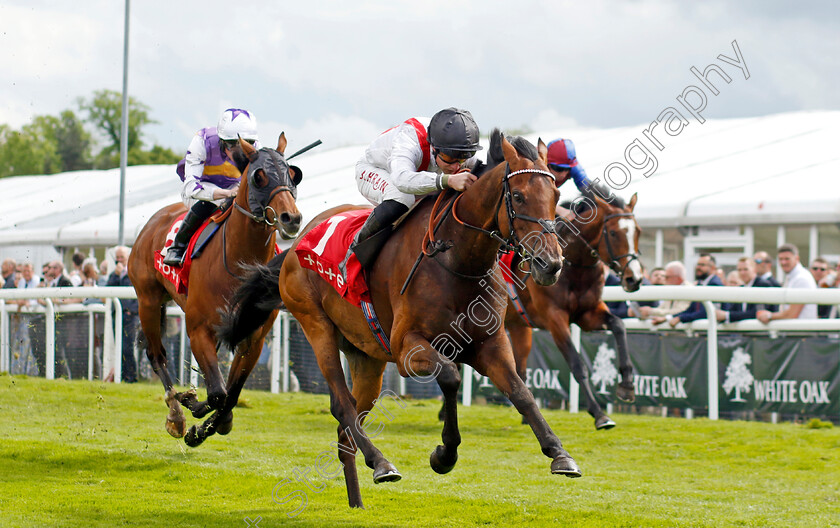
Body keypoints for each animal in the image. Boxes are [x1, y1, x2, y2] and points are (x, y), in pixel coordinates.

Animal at [128, 135, 302, 442]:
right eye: (259, 177)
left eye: (293, 175)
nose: (290, 218)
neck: (239, 261)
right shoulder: (198, 329)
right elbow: (219, 393)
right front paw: (193, 409)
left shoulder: (253, 338)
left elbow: (230, 394)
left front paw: (212, 423)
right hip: (148, 299)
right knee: (156, 354)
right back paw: (175, 414)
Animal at [220, 130, 580, 510]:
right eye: (519, 196)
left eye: (557, 195)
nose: (551, 265)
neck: (457, 260)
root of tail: (295, 244)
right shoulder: (408, 349)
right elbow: (451, 377)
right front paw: (444, 455)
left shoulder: (491, 345)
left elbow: (521, 392)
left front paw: (560, 454)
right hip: (315, 325)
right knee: (343, 406)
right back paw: (381, 463)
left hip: (367, 357)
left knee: (348, 424)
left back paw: (357, 501)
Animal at [502, 190, 640, 428]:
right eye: (613, 233)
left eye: (638, 232)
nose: (635, 279)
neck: (574, 267)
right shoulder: (555, 319)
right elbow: (577, 364)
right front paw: (599, 414)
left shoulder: (588, 314)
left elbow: (618, 325)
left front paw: (627, 385)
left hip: (518, 325)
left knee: (520, 368)